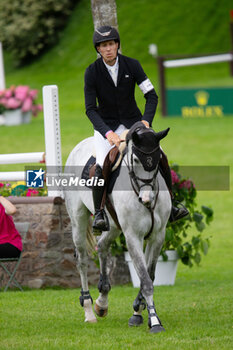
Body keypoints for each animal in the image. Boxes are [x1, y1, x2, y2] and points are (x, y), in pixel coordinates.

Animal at [63, 122, 171, 334]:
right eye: (136, 159)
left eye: (157, 161)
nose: (146, 199)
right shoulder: (133, 236)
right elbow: (145, 279)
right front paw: (154, 321)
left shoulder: (157, 236)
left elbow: (149, 274)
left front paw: (138, 312)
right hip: (78, 219)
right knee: (82, 260)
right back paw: (89, 310)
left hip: (113, 226)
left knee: (102, 246)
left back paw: (102, 302)